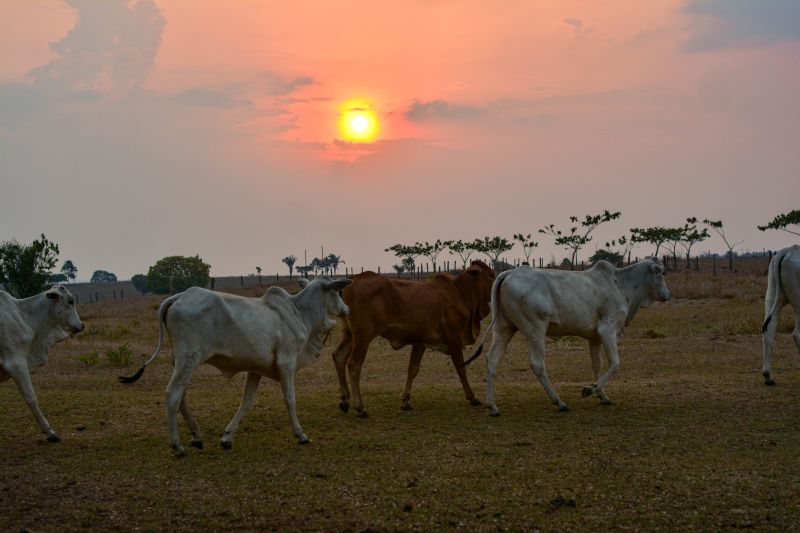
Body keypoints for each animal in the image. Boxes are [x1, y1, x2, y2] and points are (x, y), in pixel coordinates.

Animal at [0, 286, 85, 440]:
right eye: (70, 301)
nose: (82, 325)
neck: (23, 315)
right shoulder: (16, 363)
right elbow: (31, 397)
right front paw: (49, 431)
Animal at [120, 276, 352, 456]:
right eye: (337, 292)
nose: (346, 309)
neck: (300, 312)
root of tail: (178, 297)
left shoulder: (255, 370)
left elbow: (246, 402)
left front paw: (227, 437)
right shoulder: (287, 363)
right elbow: (290, 399)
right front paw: (301, 434)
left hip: (182, 362)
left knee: (181, 396)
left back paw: (197, 436)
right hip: (189, 359)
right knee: (172, 394)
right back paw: (177, 446)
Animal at [330, 260, 494, 416]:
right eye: (491, 275)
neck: (460, 293)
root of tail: (353, 280)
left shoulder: (420, 342)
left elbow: (412, 370)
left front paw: (405, 401)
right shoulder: (454, 340)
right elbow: (461, 368)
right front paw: (472, 397)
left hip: (349, 335)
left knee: (338, 357)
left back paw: (345, 400)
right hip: (363, 336)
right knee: (353, 365)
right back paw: (360, 407)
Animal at [466, 258, 672, 416]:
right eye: (661, 273)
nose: (667, 295)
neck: (619, 284)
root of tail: (509, 273)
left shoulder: (594, 338)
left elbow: (597, 366)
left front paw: (602, 395)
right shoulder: (608, 331)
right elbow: (614, 363)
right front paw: (590, 389)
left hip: (504, 327)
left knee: (492, 360)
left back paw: (493, 407)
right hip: (535, 330)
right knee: (537, 364)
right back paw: (559, 402)